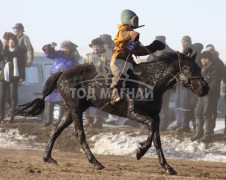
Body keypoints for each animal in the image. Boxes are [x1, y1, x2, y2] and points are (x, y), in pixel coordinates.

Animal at [13, 51, 208, 175]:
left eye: (199, 67)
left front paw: (167, 167)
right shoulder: (134, 113)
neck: (150, 81)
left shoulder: (156, 116)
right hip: (75, 109)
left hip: (69, 110)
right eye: (188, 68)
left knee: (55, 130)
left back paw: (48, 158)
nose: (204, 88)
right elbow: (151, 131)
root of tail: (61, 73)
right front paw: (139, 151)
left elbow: (157, 139)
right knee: (79, 134)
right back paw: (96, 163)